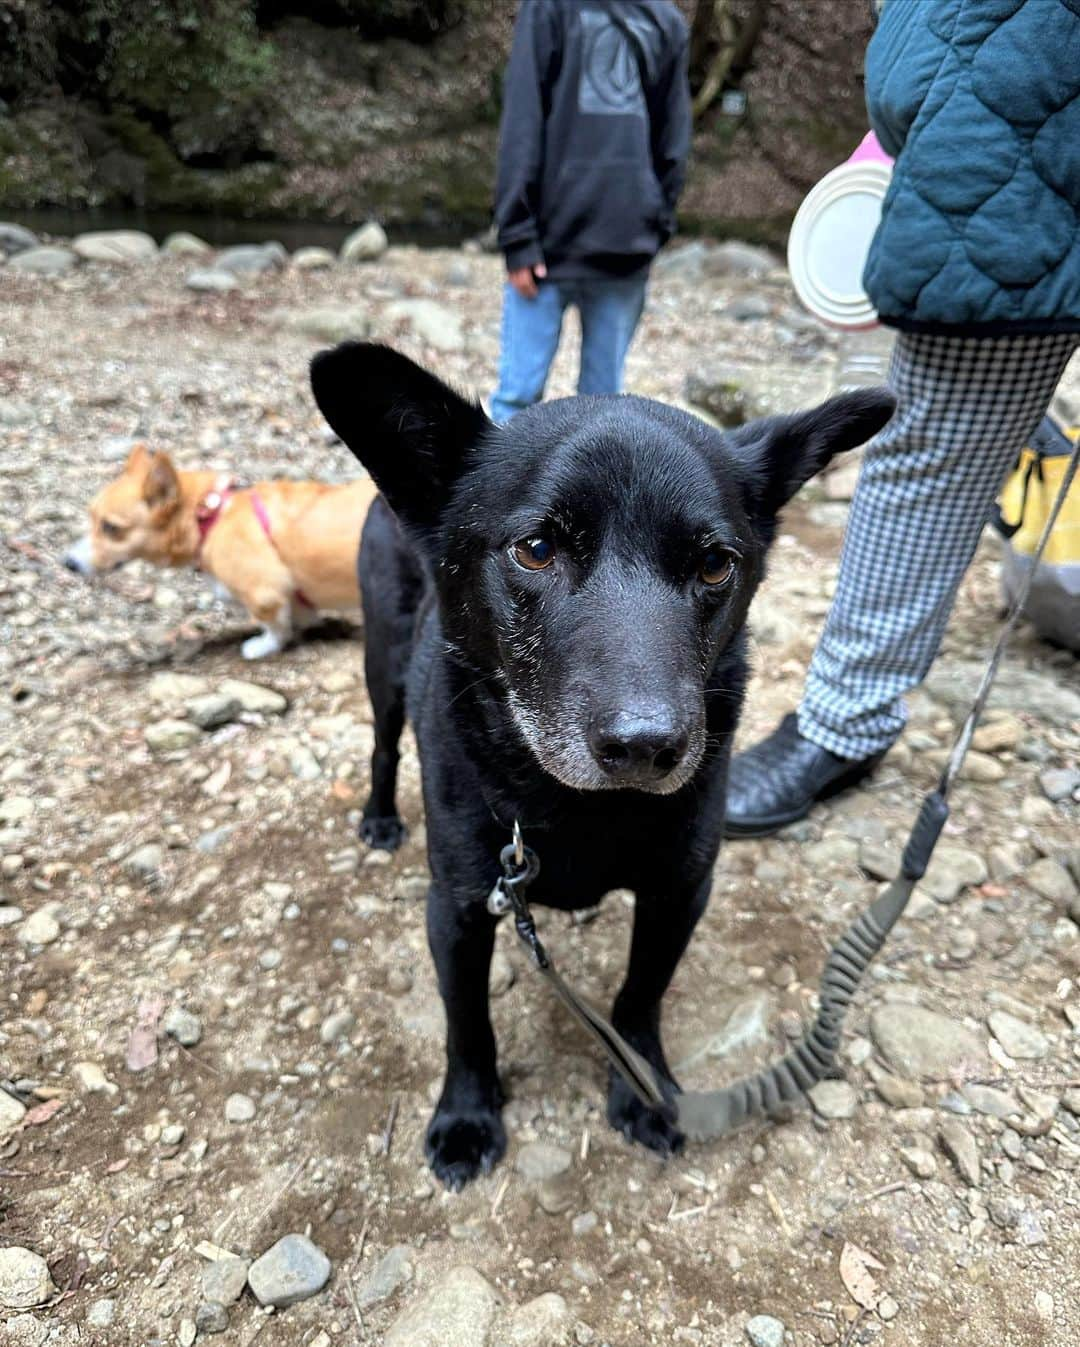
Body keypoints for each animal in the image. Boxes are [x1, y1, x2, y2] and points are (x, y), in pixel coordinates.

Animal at [307, 347, 888, 1190]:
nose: (647, 745)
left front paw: (646, 1089)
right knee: (384, 743)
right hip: (382, 668)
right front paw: (466, 1117)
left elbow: (640, 996)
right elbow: (467, 1023)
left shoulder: (680, 891)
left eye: (715, 564)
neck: (578, 809)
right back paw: (380, 818)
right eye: (536, 548)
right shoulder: (457, 907)